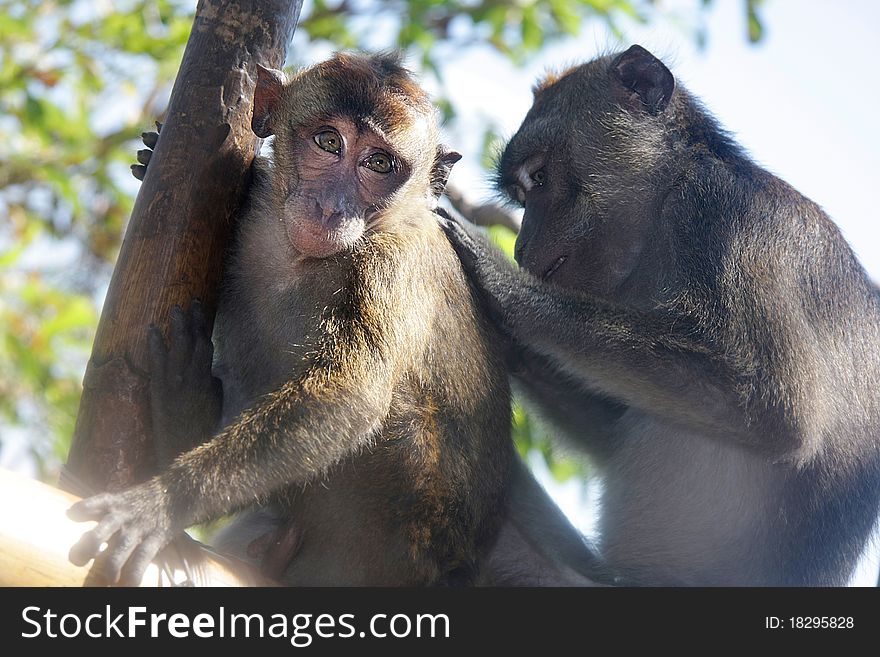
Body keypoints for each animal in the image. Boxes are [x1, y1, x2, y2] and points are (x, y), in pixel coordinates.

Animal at [70, 50, 604, 584]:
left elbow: (349, 395)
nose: (331, 207)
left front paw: (162, 503)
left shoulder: (393, 260)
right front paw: (151, 154)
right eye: (329, 142)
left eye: (378, 164)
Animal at [444, 44, 880, 584]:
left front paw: (503, 287)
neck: (664, 201)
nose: (522, 247)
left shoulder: (719, 213)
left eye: (539, 179)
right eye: (523, 194)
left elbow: (772, 408)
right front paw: (507, 339)